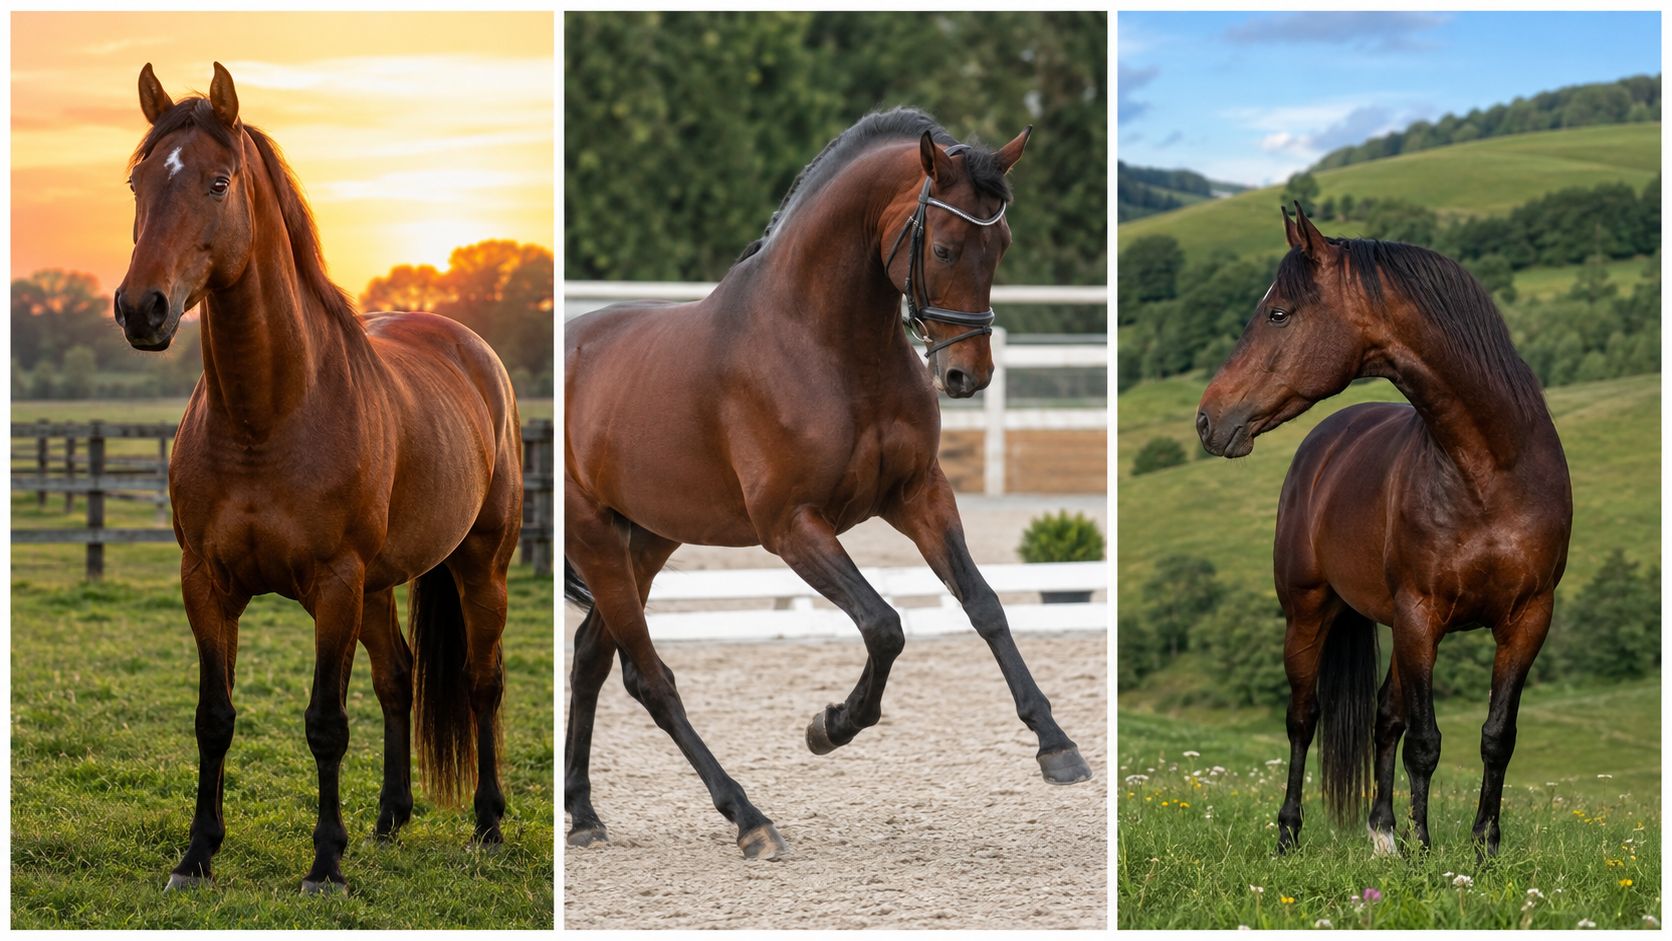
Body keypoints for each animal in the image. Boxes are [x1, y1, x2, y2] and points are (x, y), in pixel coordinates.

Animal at [115, 63, 523, 893]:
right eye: (137, 181)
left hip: (479, 567)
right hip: (378, 586)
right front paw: (197, 854)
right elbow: (214, 717)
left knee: (481, 681)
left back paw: (487, 825)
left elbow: (326, 723)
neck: (266, 417)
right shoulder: (206, 583)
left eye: (217, 182)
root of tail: (474, 350)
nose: (142, 308)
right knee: (398, 678)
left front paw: (325, 865)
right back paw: (390, 819)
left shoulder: (333, 583)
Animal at [564, 108, 1093, 861]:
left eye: (1003, 246)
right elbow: (884, 625)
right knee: (651, 680)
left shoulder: (918, 494)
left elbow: (985, 605)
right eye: (946, 249)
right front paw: (831, 725)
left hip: (647, 539)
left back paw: (583, 813)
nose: (967, 375)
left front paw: (1056, 745)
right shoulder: (793, 526)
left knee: (593, 661)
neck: (828, 343)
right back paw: (749, 818)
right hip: (597, 540)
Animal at [1196, 204, 1572, 858]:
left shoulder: (1528, 618)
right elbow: (1425, 740)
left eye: (1278, 312)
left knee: (1382, 717)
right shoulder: (1422, 614)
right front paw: (1425, 851)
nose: (1206, 419)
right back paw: (1290, 834)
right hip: (1309, 612)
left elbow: (1495, 736)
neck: (1493, 468)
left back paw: (1382, 833)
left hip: (1396, 626)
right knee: (1304, 718)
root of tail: (1329, 435)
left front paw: (1483, 848)